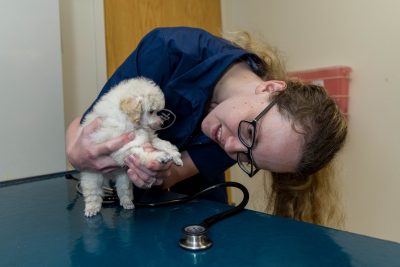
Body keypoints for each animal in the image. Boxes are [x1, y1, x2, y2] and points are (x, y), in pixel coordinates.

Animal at [79, 77, 183, 218]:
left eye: (157, 112)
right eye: (151, 111)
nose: (161, 124)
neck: (131, 122)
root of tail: (110, 176)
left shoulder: (148, 137)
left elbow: (162, 144)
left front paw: (175, 156)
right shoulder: (121, 147)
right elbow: (140, 152)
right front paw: (159, 157)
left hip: (123, 178)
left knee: (124, 190)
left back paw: (127, 203)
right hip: (92, 177)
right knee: (93, 193)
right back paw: (91, 208)